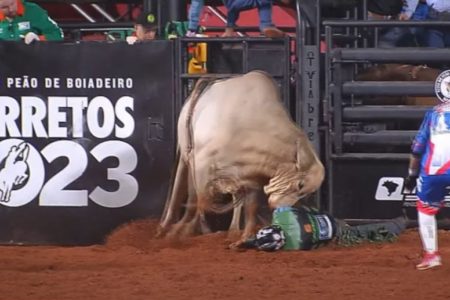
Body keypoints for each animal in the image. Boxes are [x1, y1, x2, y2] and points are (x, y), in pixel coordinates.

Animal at [158, 71, 324, 248]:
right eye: (300, 185)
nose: (284, 209)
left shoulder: (250, 174)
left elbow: (250, 205)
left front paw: (243, 238)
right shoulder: (201, 164)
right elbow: (200, 200)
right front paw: (182, 232)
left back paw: (231, 230)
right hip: (185, 155)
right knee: (182, 188)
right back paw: (167, 226)